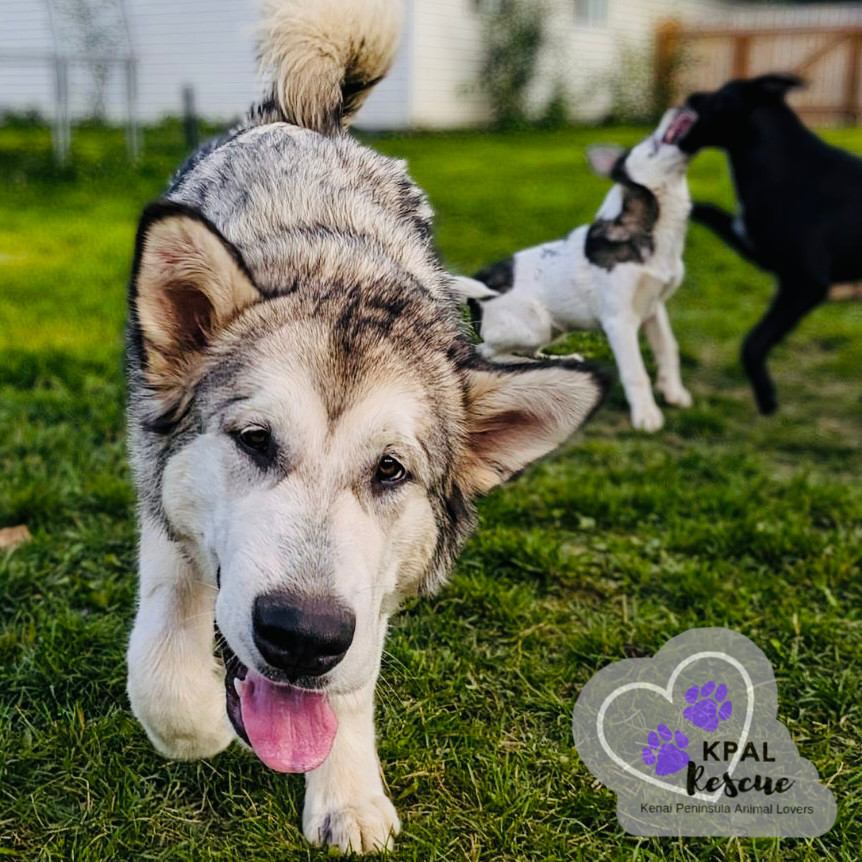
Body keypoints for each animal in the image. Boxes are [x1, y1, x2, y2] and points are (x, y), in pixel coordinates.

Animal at [126, 0, 608, 856]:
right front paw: (200, 719)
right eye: (255, 440)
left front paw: (346, 792)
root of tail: (307, 119)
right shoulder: (154, 481)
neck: (336, 273)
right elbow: (164, 666)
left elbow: (350, 686)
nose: (301, 636)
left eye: (391, 471)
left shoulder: (373, 592)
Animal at [456, 114, 700, 436]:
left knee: (522, 353)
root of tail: (475, 290)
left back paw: (557, 361)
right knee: (486, 353)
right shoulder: (619, 321)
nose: (679, 110)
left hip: (550, 330)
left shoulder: (654, 309)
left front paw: (674, 394)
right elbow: (635, 371)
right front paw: (647, 416)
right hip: (534, 325)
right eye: (651, 141)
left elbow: (668, 349)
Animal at [680, 74, 860, 416]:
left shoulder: (804, 284)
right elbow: (706, 209)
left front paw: (766, 398)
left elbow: (752, 344)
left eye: (720, 98)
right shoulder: (757, 250)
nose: (690, 96)